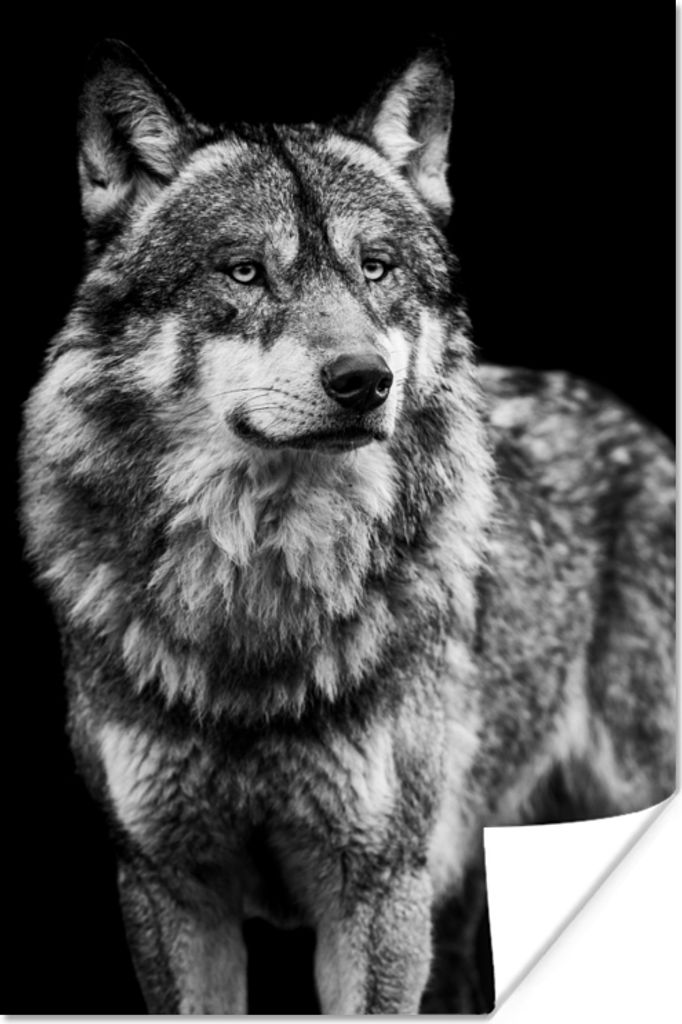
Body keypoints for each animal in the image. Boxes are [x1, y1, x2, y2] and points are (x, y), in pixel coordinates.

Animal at [20, 39, 675, 1014]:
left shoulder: (378, 891)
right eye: (244, 271)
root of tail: (638, 428)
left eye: (376, 268)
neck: (259, 597)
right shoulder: (167, 889)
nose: (365, 381)